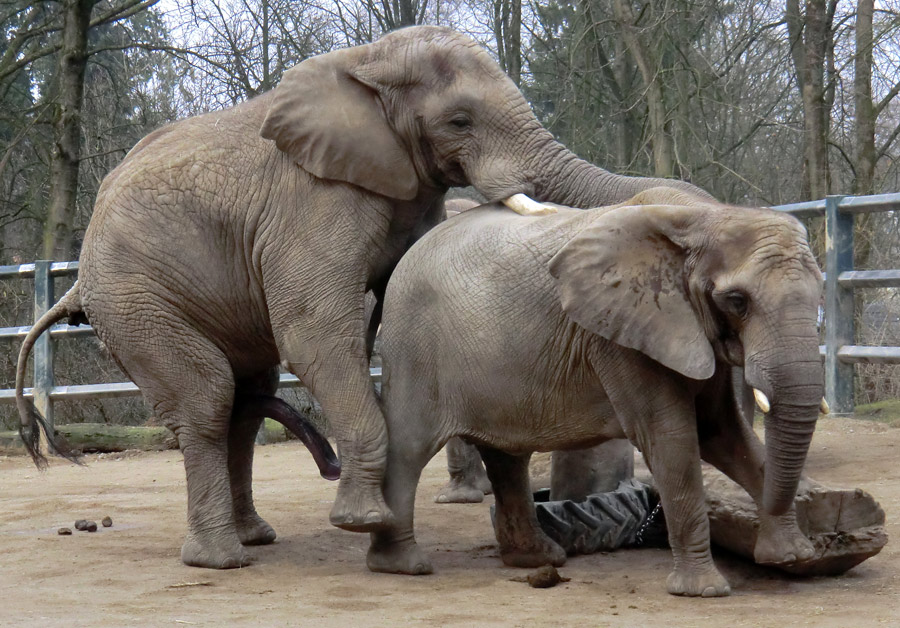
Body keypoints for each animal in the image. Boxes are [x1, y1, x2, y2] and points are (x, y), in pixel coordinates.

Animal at [14, 27, 704, 572]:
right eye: (459, 121)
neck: (367, 63)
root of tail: (78, 274)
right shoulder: (312, 199)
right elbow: (316, 330)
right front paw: (365, 522)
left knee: (245, 397)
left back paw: (254, 538)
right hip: (132, 294)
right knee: (207, 392)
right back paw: (221, 559)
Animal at [370, 189, 828, 596]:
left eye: (821, 292)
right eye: (737, 301)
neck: (701, 217)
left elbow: (721, 433)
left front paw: (792, 558)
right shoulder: (620, 336)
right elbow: (671, 439)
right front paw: (704, 591)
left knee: (506, 456)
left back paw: (539, 560)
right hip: (411, 346)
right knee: (409, 448)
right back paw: (403, 566)